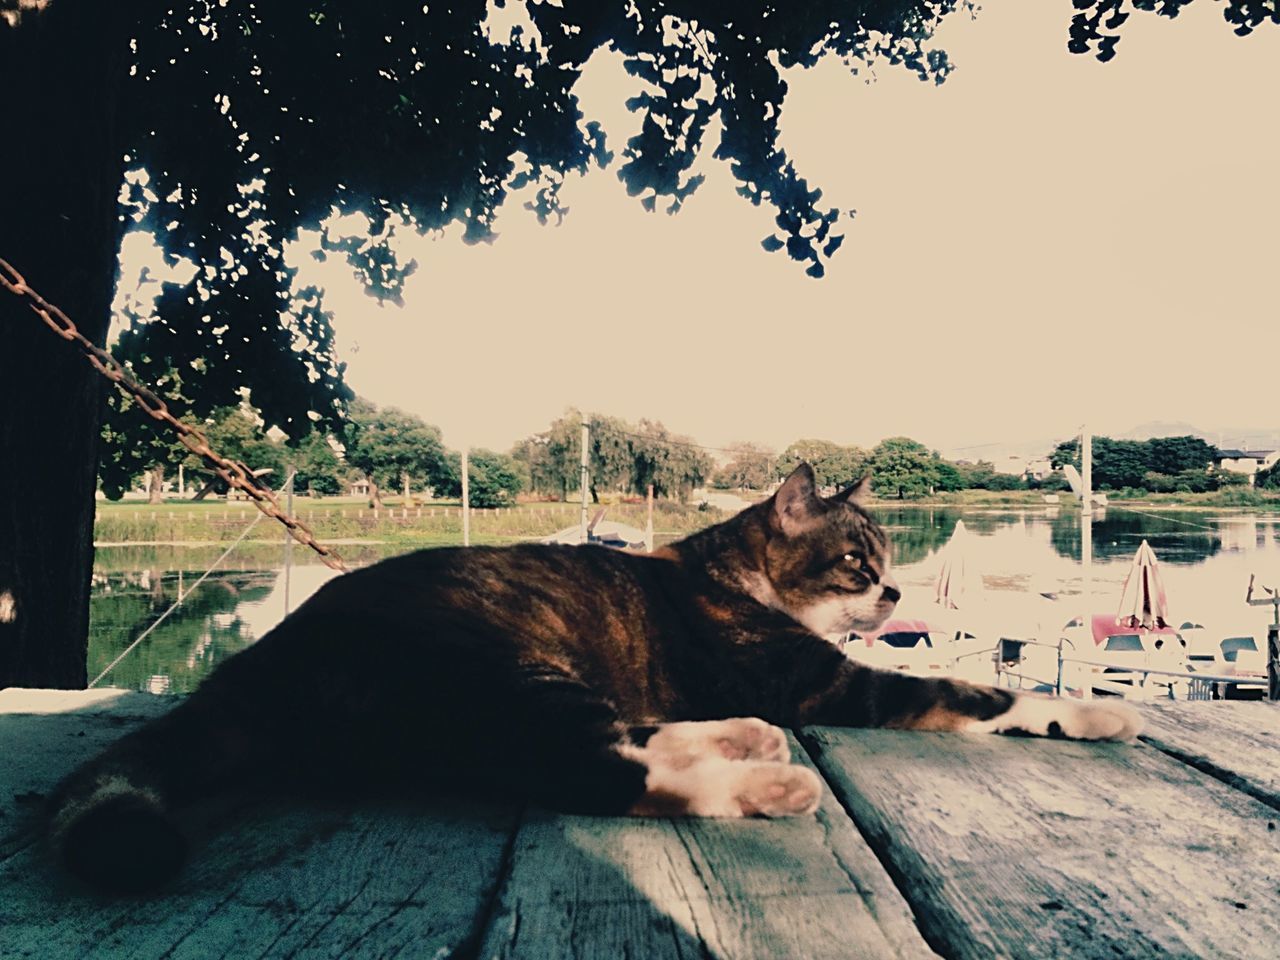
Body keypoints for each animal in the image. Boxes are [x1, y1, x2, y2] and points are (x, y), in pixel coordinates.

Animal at [47, 463, 1141, 896]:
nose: (899, 589)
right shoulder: (834, 683)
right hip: (505, 669)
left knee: (622, 736)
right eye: (856, 562)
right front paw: (1090, 710)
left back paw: (739, 741)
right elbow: (977, 695)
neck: (732, 573)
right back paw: (764, 782)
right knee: (595, 770)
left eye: (887, 560)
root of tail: (262, 657)